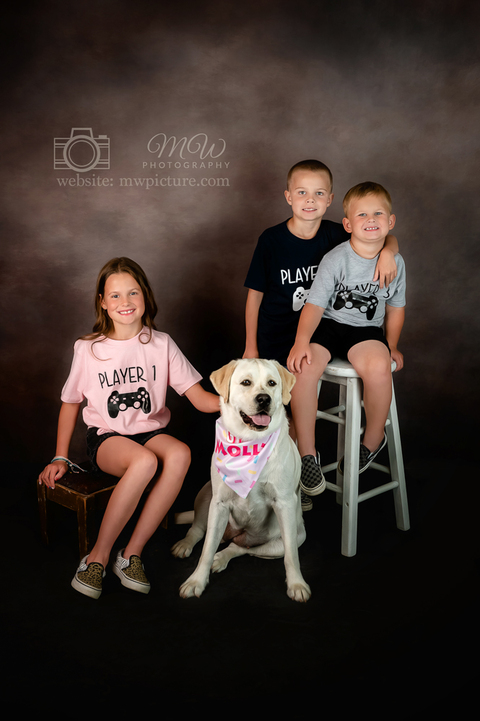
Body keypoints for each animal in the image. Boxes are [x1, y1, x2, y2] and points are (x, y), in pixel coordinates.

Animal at [172, 358, 312, 600]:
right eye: (246, 382)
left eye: (272, 383)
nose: (264, 398)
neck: (250, 440)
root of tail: (235, 535)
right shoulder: (219, 503)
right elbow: (206, 548)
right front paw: (196, 580)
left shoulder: (284, 504)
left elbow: (291, 556)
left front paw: (296, 584)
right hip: (206, 494)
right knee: (198, 530)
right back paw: (185, 544)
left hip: (291, 537)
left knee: (241, 549)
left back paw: (222, 557)